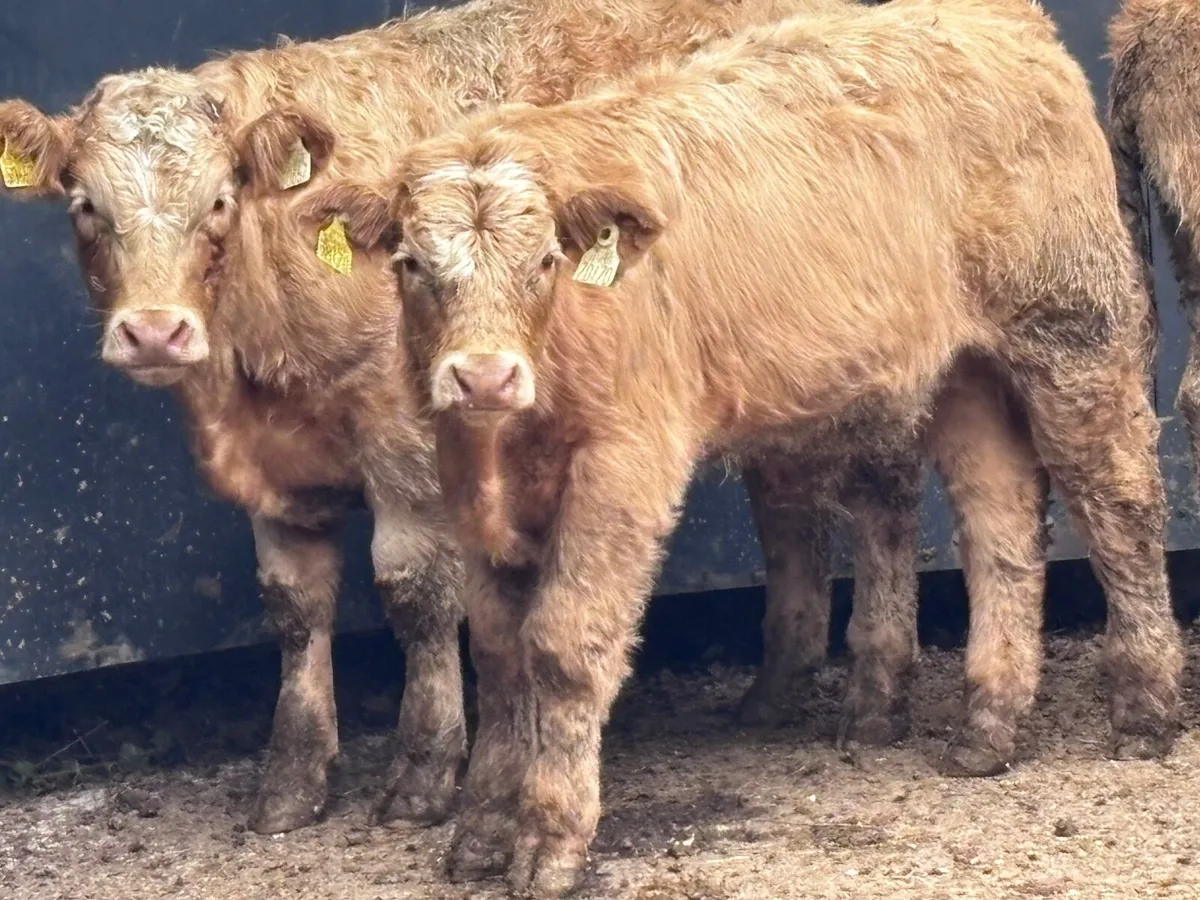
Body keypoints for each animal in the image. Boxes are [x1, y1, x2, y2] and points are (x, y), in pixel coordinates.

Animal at [0, 0, 867, 836]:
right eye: (84, 206)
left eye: (217, 200)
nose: (154, 330)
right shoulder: (281, 475)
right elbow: (294, 608)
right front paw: (291, 781)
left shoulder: (408, 445)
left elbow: (416, 593)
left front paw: (425, 771)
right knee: (790, 504)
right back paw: (777, 688)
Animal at [343, 0, 1179, 892]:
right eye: (411, 264)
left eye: (545, 261)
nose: (484, 377)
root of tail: (1002, 22)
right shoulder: (469, 483)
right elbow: (499, 658)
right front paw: (479, 833)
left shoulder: (624, 464)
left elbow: (563, 646)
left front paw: (549, 842)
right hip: (965, 374)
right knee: (1001, 525)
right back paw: (987, 725)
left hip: (1072, 331)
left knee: (1118, 499)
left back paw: (1146, 708)